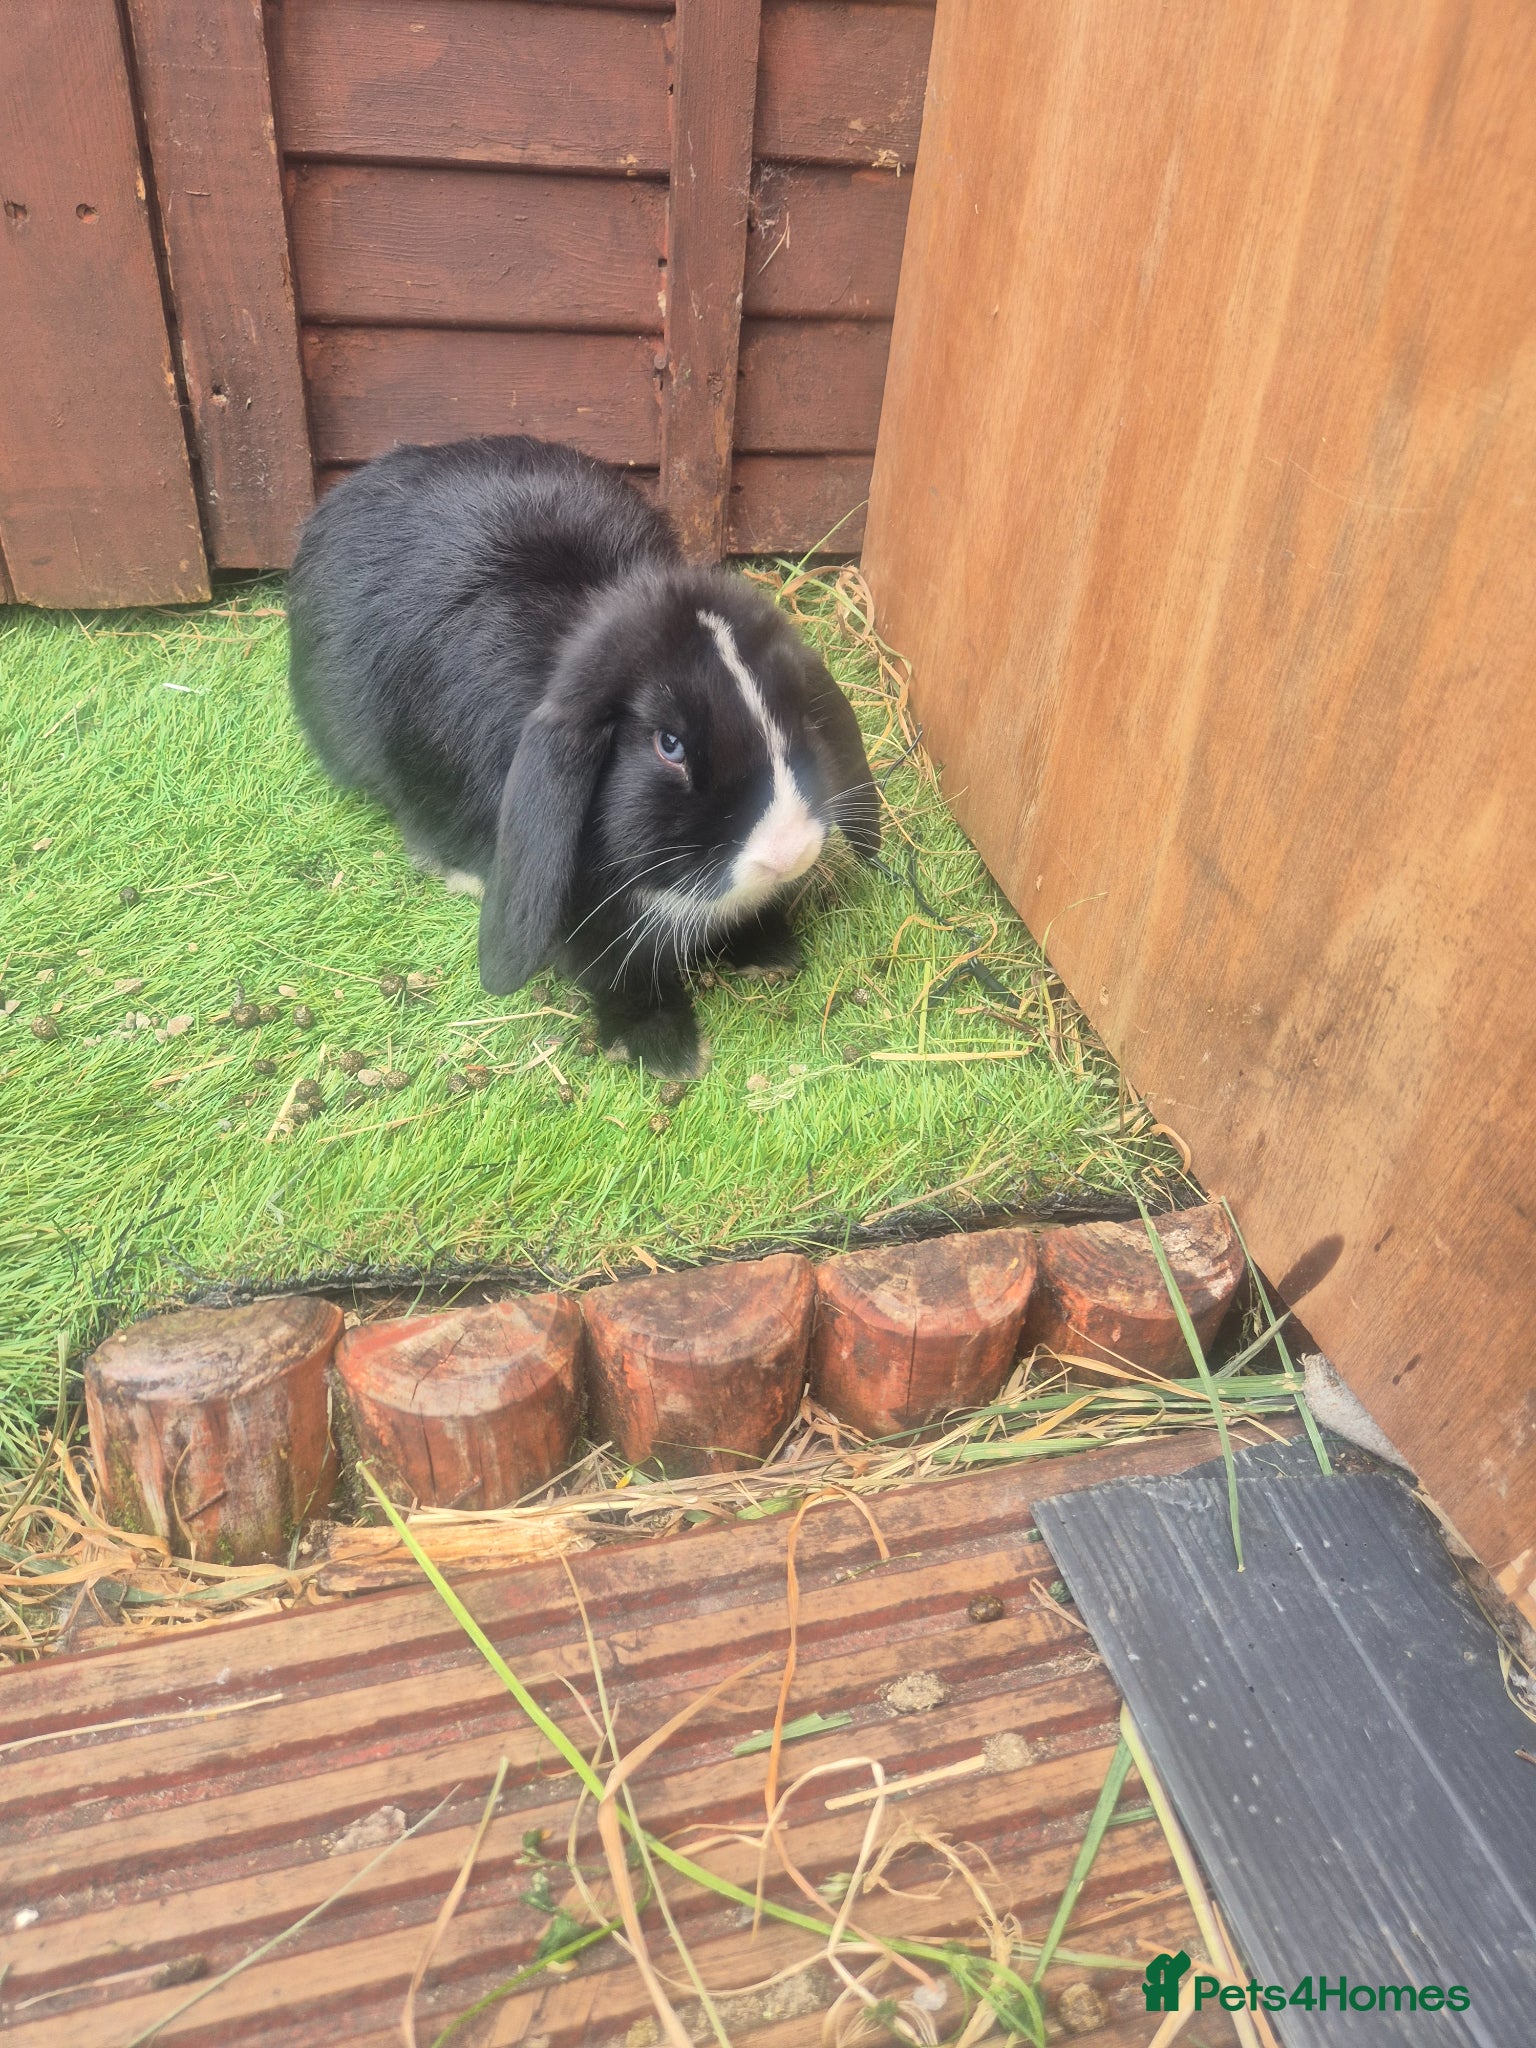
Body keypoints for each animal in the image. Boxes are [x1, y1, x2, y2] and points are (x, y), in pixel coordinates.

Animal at [287, 435, 880, 1079]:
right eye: (669, 745)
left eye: (796, 708)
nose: (789, 852)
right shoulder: (579, 912)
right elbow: (613, 969)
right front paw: (665, 1047)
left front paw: (768, 951)